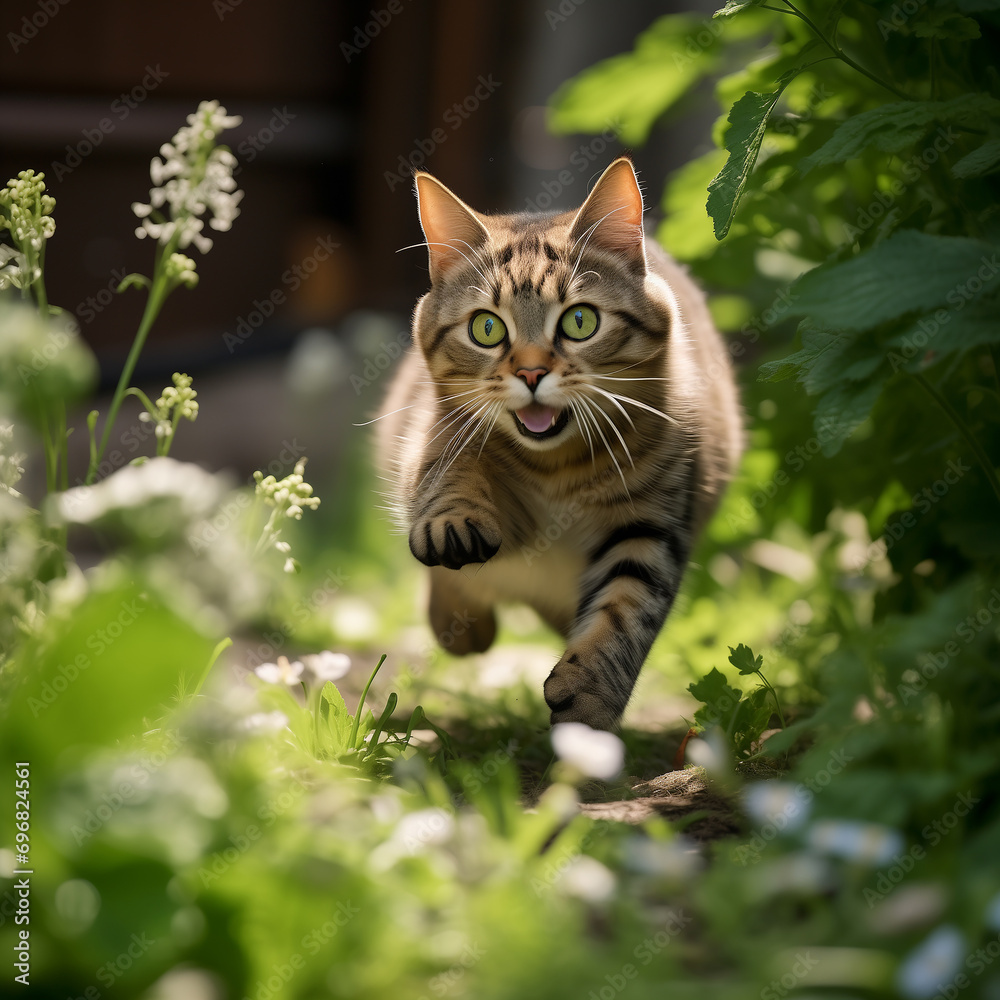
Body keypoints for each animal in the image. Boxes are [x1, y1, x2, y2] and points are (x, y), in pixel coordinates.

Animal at [378, 160, 748, 732]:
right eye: (487, 328)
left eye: (580, 321)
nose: (531, 373)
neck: (559, 468)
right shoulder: (438, 434)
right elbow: (450, 474)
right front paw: (453, 523)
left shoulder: (649, 527)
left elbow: (624, 611)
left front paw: (590, 698)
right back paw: (462, 623)